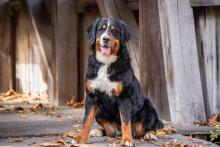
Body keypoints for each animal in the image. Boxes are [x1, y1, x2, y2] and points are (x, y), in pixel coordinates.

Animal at [74, 17, 163, 146]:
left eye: (114, 30)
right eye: (101, 29)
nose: (105, 38)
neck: (106, 63)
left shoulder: (124, 97)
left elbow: (125, 121)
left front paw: (127, 139)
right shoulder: (92, 96)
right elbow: (87, 120)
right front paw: (81, 137)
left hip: (148, 107)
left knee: (147, 128)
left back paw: (149, 134)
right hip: (100, 111)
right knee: (110, 131)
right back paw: (98, 131)